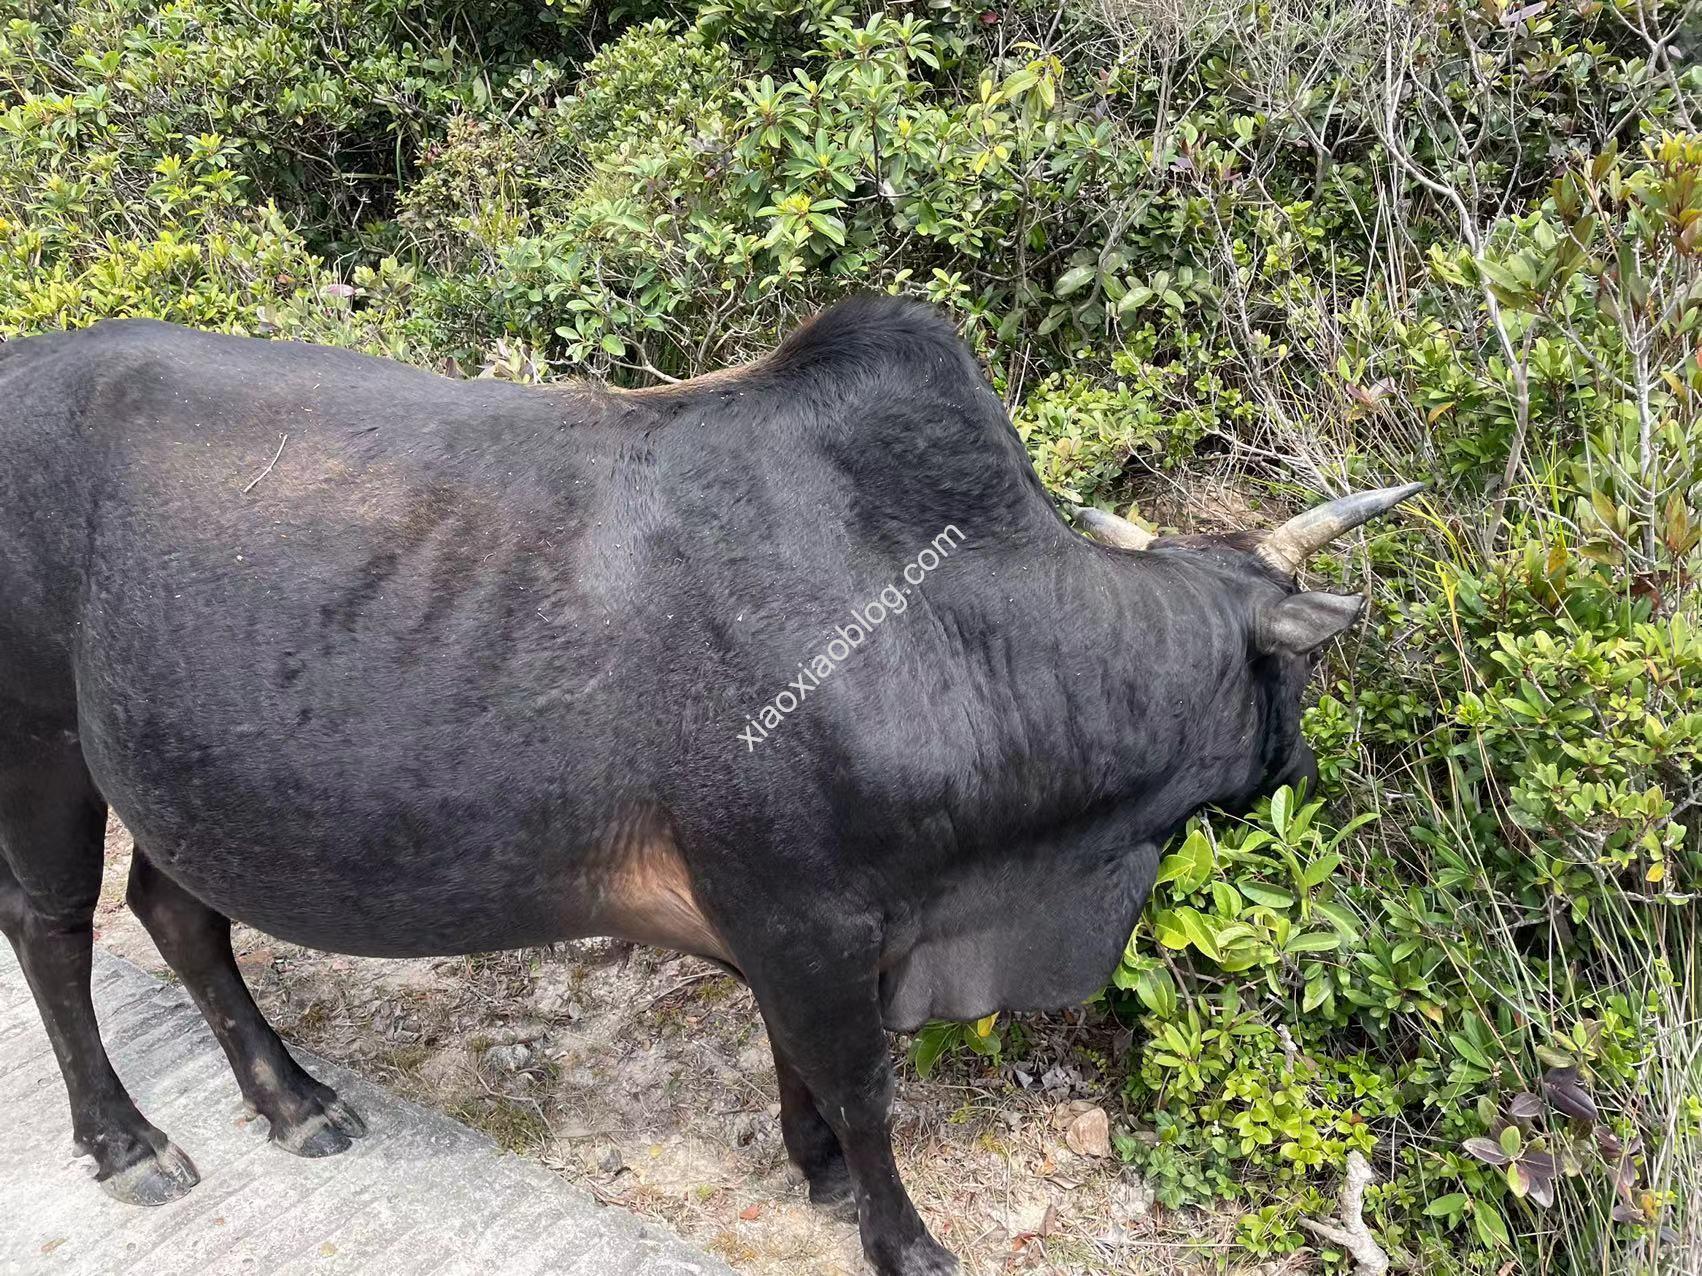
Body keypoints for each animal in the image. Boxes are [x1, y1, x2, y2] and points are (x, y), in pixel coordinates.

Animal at [0, 297, 1416, 1272]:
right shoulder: (806, 917)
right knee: (51, 927)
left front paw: (820, 1175)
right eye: (1295, 671)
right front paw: (902, 1235)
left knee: (178, 912)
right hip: (42, 746)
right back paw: (128, 1142)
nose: (1303, 763)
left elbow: (799, 1068)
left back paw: (293, 1100)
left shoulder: (792, 929)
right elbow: (860, 1085)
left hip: (185, 770)